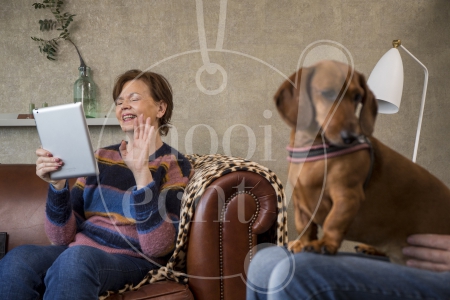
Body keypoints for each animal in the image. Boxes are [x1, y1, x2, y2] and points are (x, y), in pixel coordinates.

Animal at [276, 59, 450, 264]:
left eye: (357, 96)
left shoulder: (347, 196)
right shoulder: (300, 203)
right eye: (328, 93)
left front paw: (325, 244)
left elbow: (333, 221)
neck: (316, 151)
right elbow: (305, 226)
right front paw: (301, 244)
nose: (351, 137)